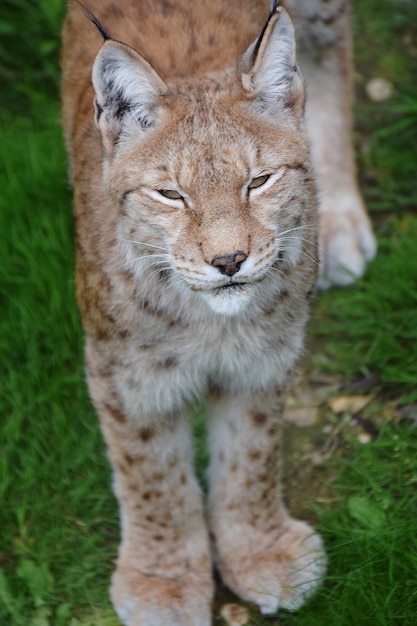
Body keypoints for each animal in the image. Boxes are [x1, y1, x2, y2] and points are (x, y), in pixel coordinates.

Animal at [61, 1, 374, 624]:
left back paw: (339, 218)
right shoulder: (125, 371)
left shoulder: (268, 351)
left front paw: (259, 550)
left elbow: (252, 454)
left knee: (332, 52)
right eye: (171, 195)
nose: (229, 261)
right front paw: (162, 580)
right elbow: (151, 473)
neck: (209, 318)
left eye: (260, 181)